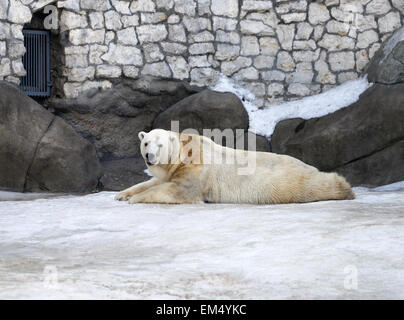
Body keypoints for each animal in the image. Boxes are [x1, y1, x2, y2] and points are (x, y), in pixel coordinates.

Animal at [113, 129, 354, 204]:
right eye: (146, 142)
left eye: (160, 144)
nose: (149, 156)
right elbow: (153, 181)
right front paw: (122, 194)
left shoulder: (197, 166)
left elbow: (179, 190)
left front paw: (135, 199)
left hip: (287, 181)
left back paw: (344, 187)